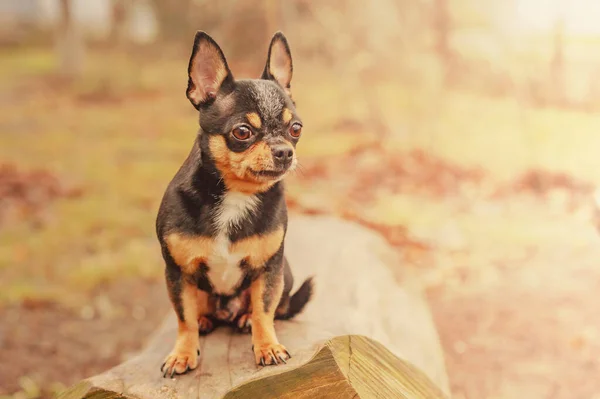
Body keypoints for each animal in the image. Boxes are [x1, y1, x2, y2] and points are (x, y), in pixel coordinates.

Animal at [155, 32, 314, 378]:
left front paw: (267, 346)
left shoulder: (269, 269)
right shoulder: (177, 272)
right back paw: (206, 319)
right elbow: (184, 318)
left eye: (295, 129)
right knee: (198, 310)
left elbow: (265, 310)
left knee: (270, 307)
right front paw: (182, 353)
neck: (236, 195)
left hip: (286, 271)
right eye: (243, 132)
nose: (284, 151)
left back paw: (244, 318)